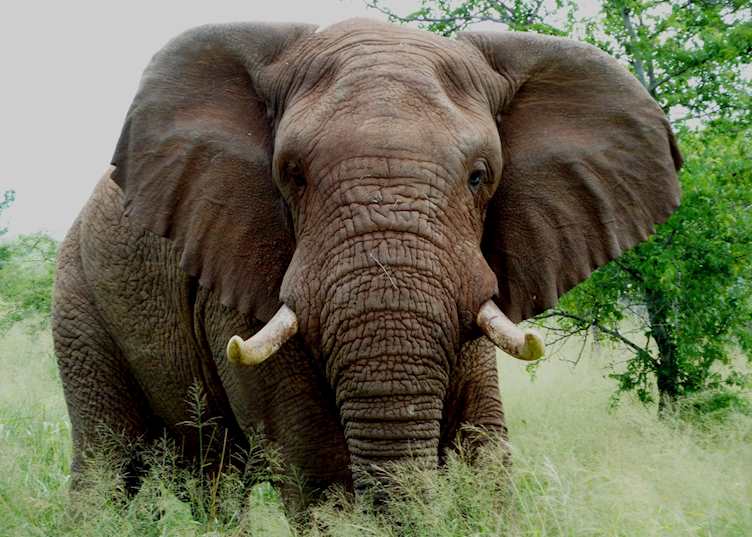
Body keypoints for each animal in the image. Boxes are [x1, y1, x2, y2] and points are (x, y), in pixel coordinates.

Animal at [52, 18, 681, 506]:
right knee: (109, 463)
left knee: (215, 482)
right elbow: (318, 464)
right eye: (292, 176)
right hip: (78, 304)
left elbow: (484, 453)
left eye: (480, 176)